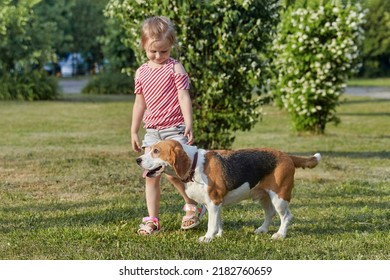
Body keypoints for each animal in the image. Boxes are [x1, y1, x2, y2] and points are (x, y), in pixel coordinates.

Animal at [136, 139, 322, 242]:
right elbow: (218, 222)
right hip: (263, 196)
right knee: (269, 213)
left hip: (279, 197)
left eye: (156, 151)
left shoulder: (214, 202)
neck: (195, 164)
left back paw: (280, 234)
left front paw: (207, 238)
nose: (138, 160)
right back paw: (262, 229)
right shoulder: (214, 204)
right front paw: (218, 236)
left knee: (286, 216)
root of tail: (286, 155)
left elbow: (211, 223)